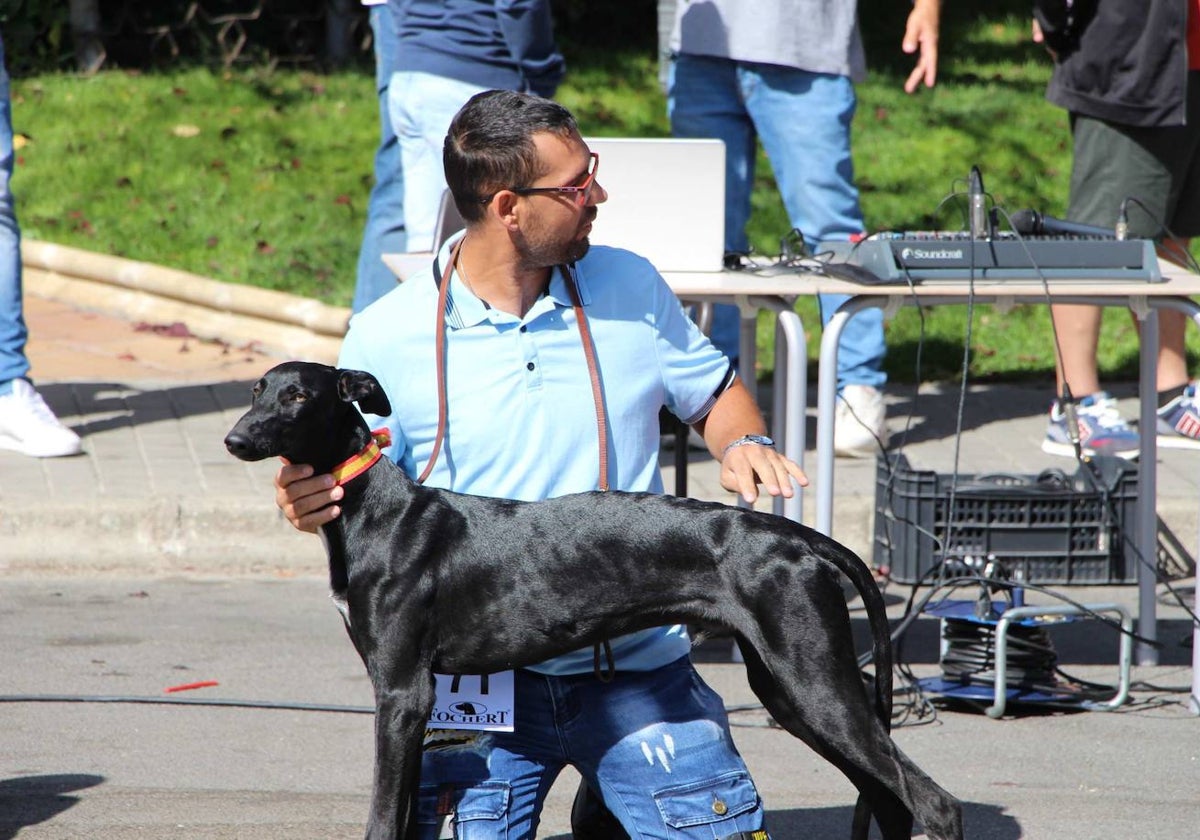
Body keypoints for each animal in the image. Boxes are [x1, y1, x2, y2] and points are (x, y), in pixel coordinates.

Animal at [226, 360, 964, 840]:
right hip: (789, 690)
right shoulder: (410, 702)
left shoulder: (403, 692)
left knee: (936, 805)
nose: (234, 439)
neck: (375, 511)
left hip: (817, 685)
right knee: (893, 803)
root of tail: (799, 537)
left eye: (298, 395)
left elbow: (383, 816)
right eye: (257, 389)